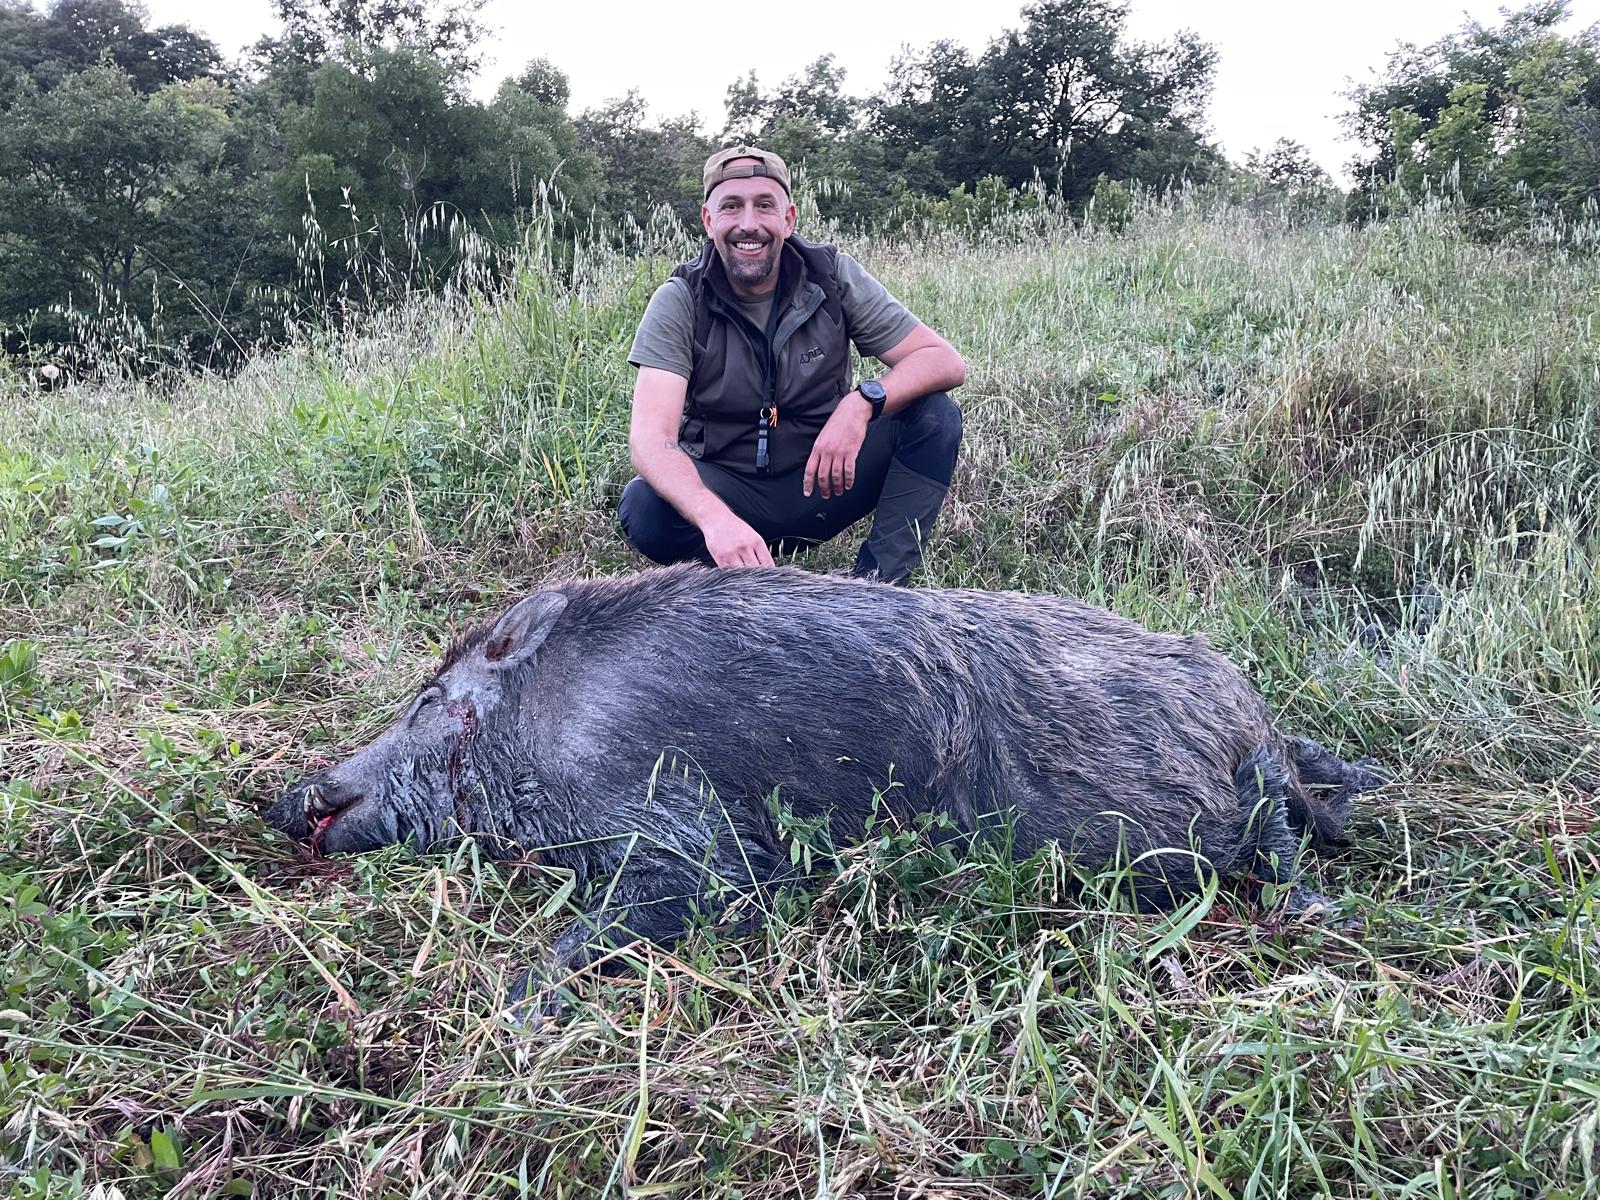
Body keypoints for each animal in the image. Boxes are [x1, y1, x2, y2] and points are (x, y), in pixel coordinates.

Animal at [265, 564, 1381, 1005]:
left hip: (1234, 794)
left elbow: (619, 924)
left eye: (428, 700)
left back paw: (1326, 914)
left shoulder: (685, 835)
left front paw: (517, 1009)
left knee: (1284, 852)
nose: (284, 795)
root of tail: (1252, 709)